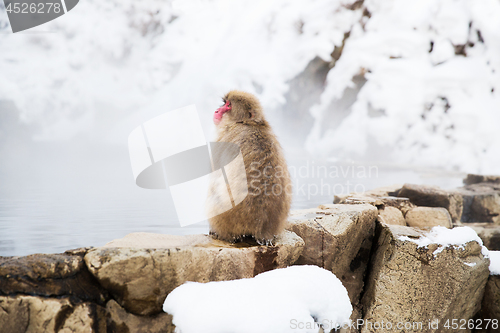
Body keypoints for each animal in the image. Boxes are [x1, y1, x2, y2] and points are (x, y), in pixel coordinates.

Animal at [207, 90, 292, 244]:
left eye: (228, 105)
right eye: (224, 103)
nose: (217, 110)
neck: (248, 123)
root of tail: (262, 229)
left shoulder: (224, 138)